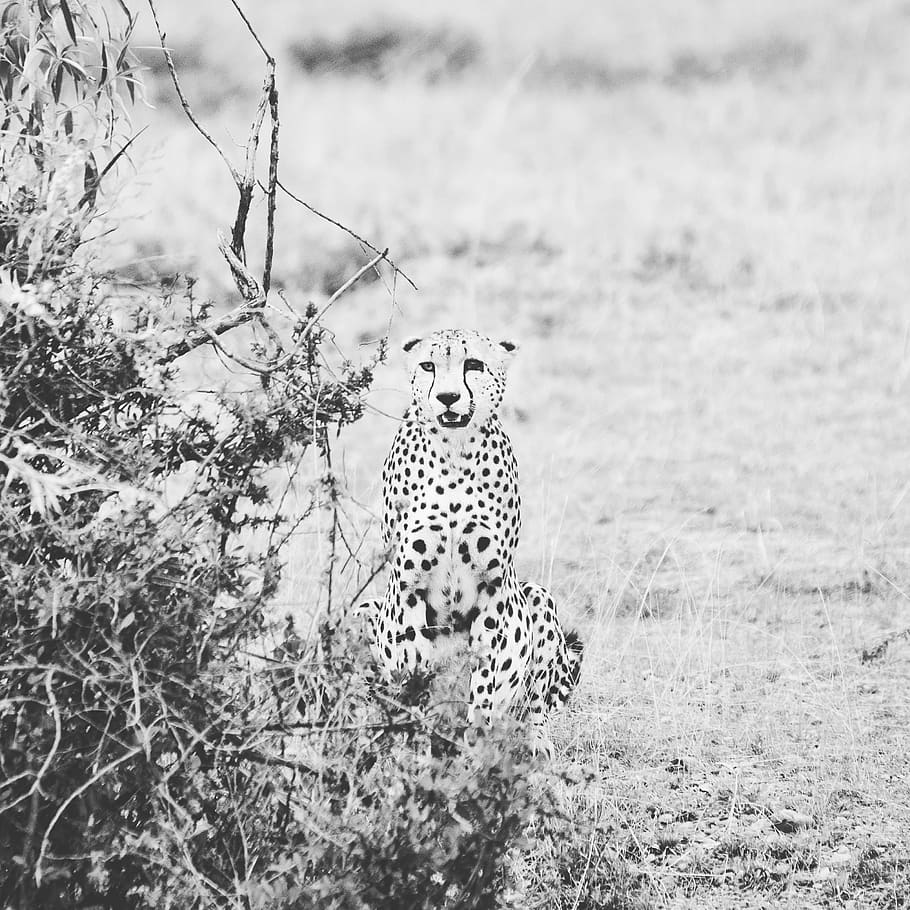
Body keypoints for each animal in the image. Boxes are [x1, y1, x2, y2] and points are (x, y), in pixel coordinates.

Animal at [360, 329, 583, 756]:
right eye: (428, 365)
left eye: (474, 365)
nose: (448, 397)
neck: (454, 451)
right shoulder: (408, 588)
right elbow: (415, 675)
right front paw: (415, 752)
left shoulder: (493, 587)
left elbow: (485, 683)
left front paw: (477, 748)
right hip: (366, 608)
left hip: (537, 596)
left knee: (534, 707)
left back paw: (535, 745)